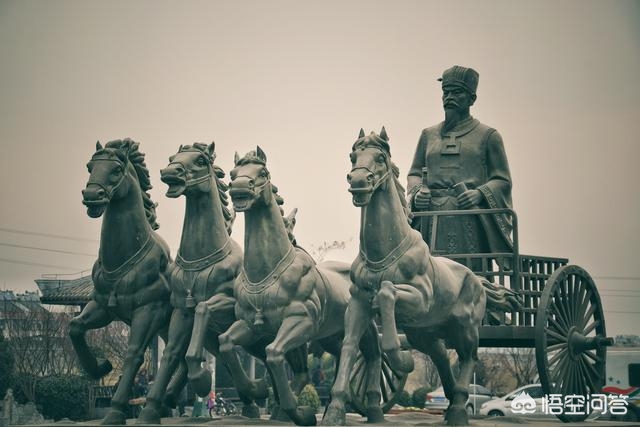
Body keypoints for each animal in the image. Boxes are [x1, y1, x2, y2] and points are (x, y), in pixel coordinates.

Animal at [74, 140, 172, 424]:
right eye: (90, 166)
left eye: (116, 169)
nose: (92, 196)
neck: (126, 256)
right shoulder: (103, 306)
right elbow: (75, 327)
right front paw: (100, 367)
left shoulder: (149, 309)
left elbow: (133, 353)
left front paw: (115, 411)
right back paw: (161, 406)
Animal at [219, 149, 380, 426]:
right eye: (232, 173)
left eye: (263, 173)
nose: (239, 188)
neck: (268, 272)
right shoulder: (250, 324)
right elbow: (226, 343)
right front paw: (257, 390)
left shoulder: (301, 321)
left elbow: (273, 353)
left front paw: (299, 412)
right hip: (330, 335)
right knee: (332, 361)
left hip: (363, 324)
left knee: (371, 356)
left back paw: (371, 409)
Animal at [322, 130, 516, 427]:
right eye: (353, 156)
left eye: (380, 158)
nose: (358, 182)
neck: (383, 254)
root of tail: (476, 278)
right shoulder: (357, 303)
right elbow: (349, 346)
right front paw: (334, 411)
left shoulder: (419, 299)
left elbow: (387, 293)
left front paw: (402, 361)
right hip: (425, 333)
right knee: (443, 358)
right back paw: (450, 403)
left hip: (466, 327)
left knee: (469, 357)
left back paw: (458, 410)